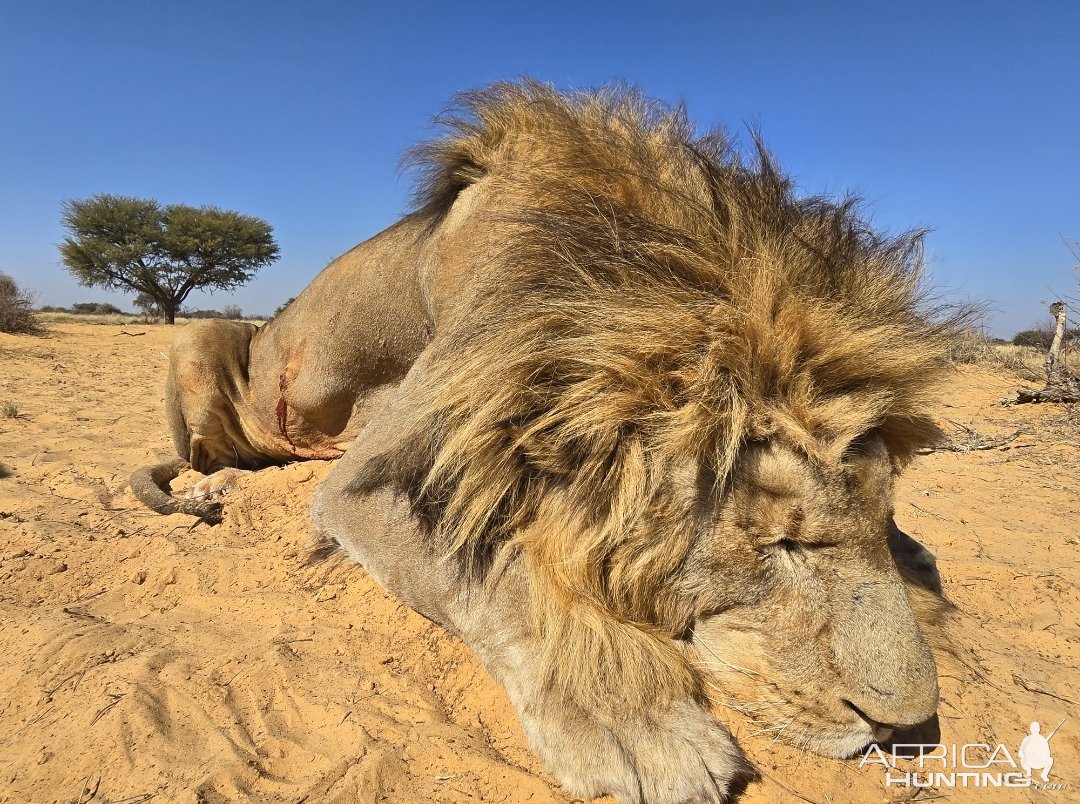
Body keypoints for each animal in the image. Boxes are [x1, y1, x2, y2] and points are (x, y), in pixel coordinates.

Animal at [130, 79, 967, 799]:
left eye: (878, 519)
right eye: (781, 546)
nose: (904, 727)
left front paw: (920, 566)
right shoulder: (363, 484)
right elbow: (489, 576)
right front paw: (635, 720)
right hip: (198, 337)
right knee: (212, 456)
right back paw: (212, 486)